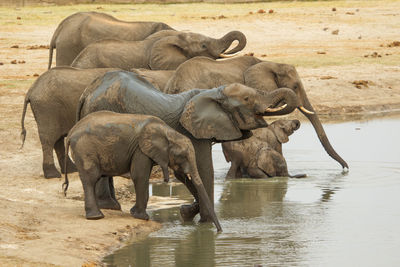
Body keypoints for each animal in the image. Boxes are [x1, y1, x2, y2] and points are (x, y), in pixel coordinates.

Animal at [64, 111, 223, 232]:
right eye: (182, 156)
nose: (220, 231)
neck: (168, 132)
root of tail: (71, 133)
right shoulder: (141, 150)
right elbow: (139, 176)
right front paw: (141, 217)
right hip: (85, 149)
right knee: (91, 178)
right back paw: (96, 217)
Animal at [76, 70, 298, 223]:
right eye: (247, 99)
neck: (214, 92)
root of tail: (87, 92)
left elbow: (188, 173)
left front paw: (187, 213)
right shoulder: (194, 132)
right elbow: (203, 169)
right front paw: (205, 223)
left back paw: (112, 206)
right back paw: (109, 206)